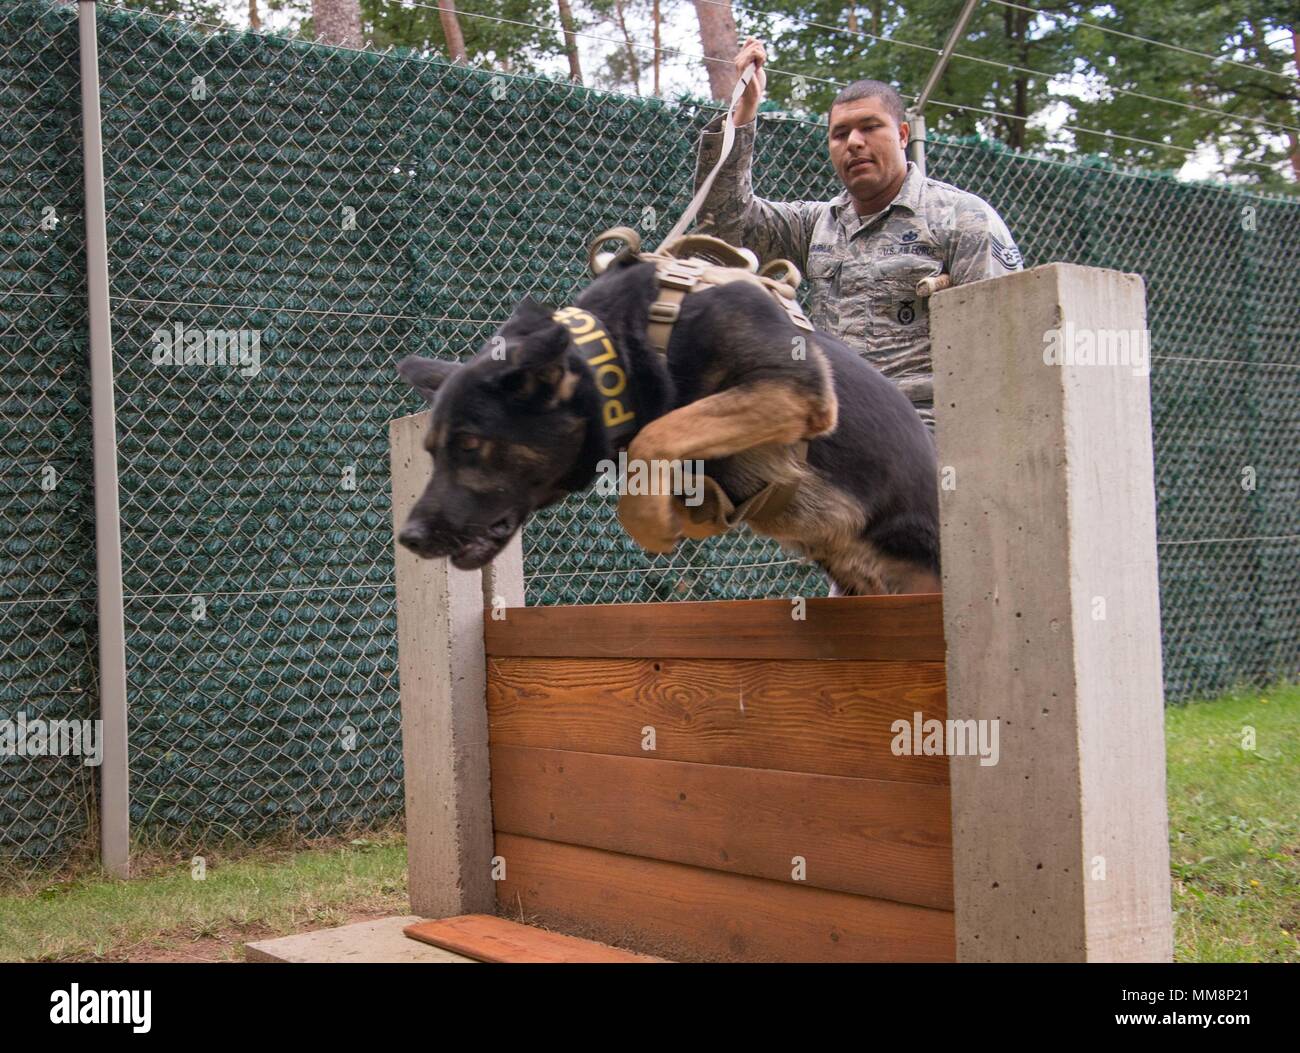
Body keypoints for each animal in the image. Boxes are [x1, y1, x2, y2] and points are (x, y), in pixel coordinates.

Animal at [390, 246, 941, 590]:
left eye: (470, 445)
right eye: (432, 452)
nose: (409, 538)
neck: (626, 345)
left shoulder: (795, 388)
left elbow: (656, 434)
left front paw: (653, 522)